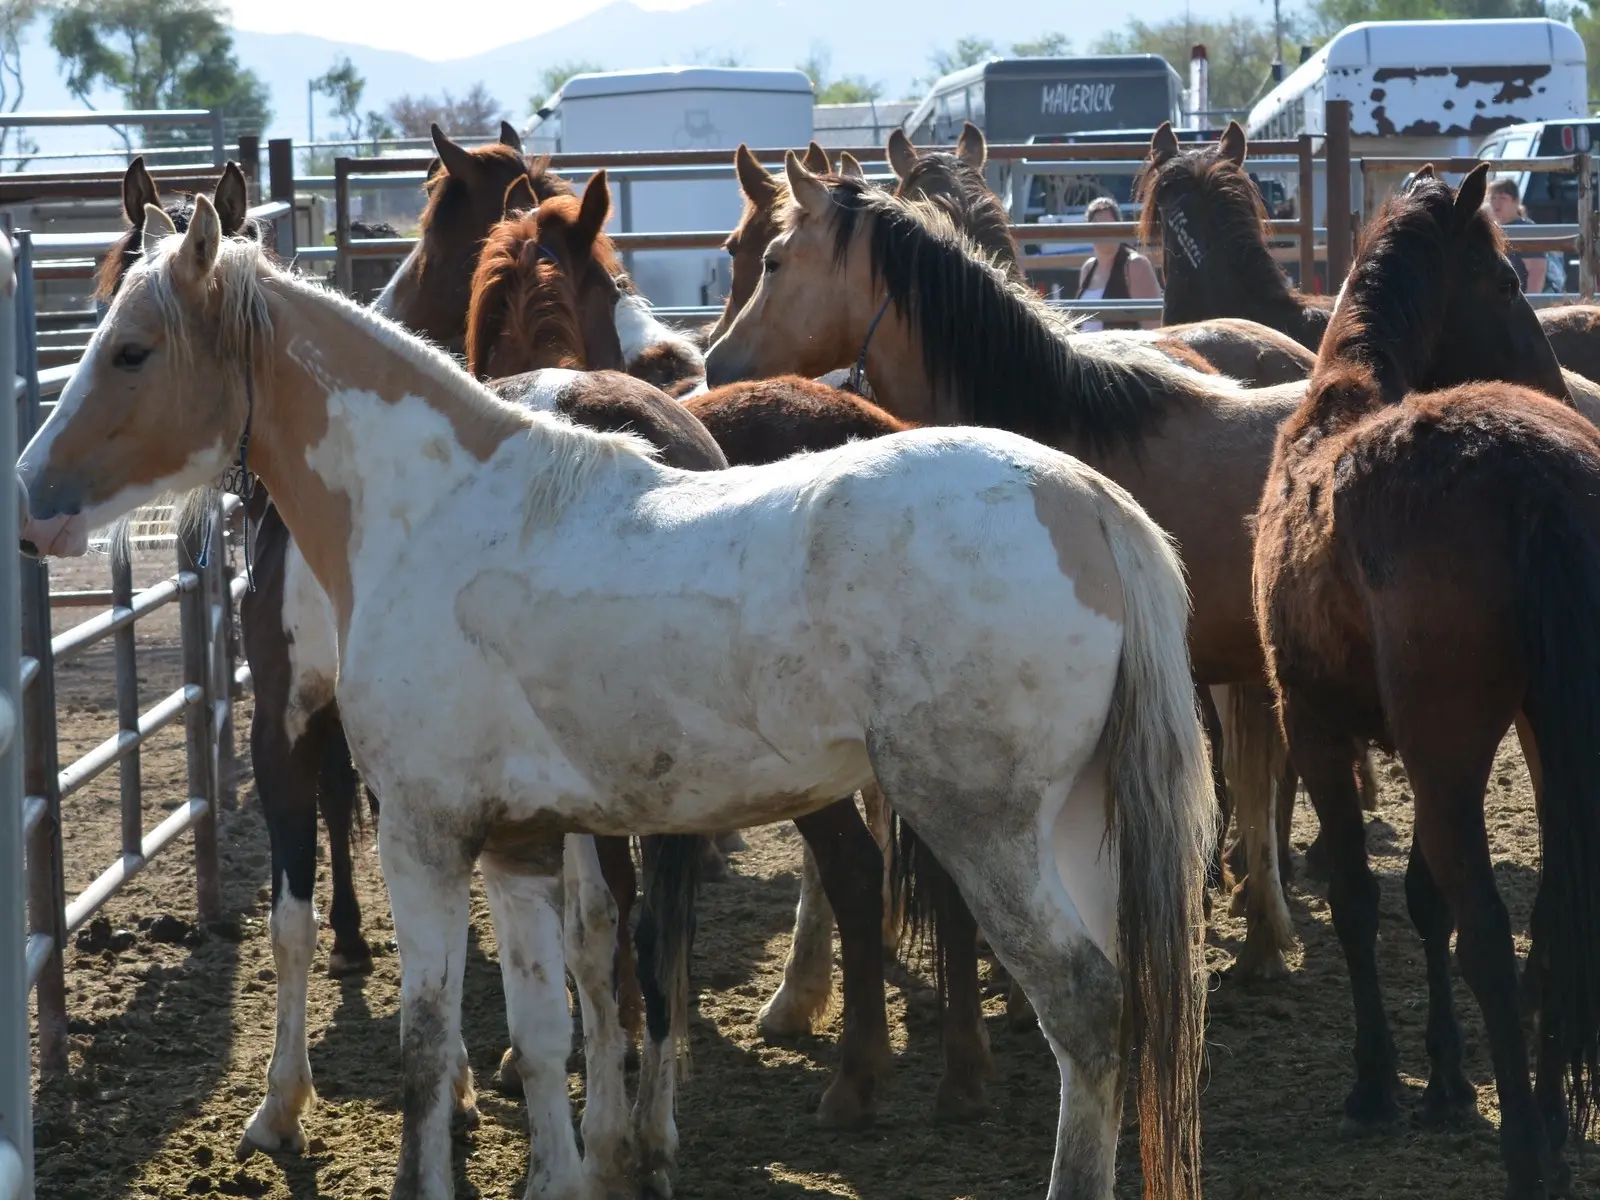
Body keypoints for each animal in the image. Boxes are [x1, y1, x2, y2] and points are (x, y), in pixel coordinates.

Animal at [15, 197, 1209, 1200]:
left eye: (131, 348)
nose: (30, 501)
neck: (439, 511)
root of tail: (1084, 501)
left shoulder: (423, 834)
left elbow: (424, 1046)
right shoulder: (519, 843)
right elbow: (549, 1029)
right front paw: (569, 1169)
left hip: (983, 828)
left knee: (1083, 1006)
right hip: (1074, 829)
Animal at [1254, 162, 1593, 1200]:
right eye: (1510, 284)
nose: (1555, 379)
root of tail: (1533, 475)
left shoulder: (1318, 726)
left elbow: (1364, 898)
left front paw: (1377, 1084)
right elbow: (1421, 901)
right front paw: (1444, 1077)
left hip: (1447, 755)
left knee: (1488, 926)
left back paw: (1527, 1149)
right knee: (1551, 910)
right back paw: (1552, 1115)